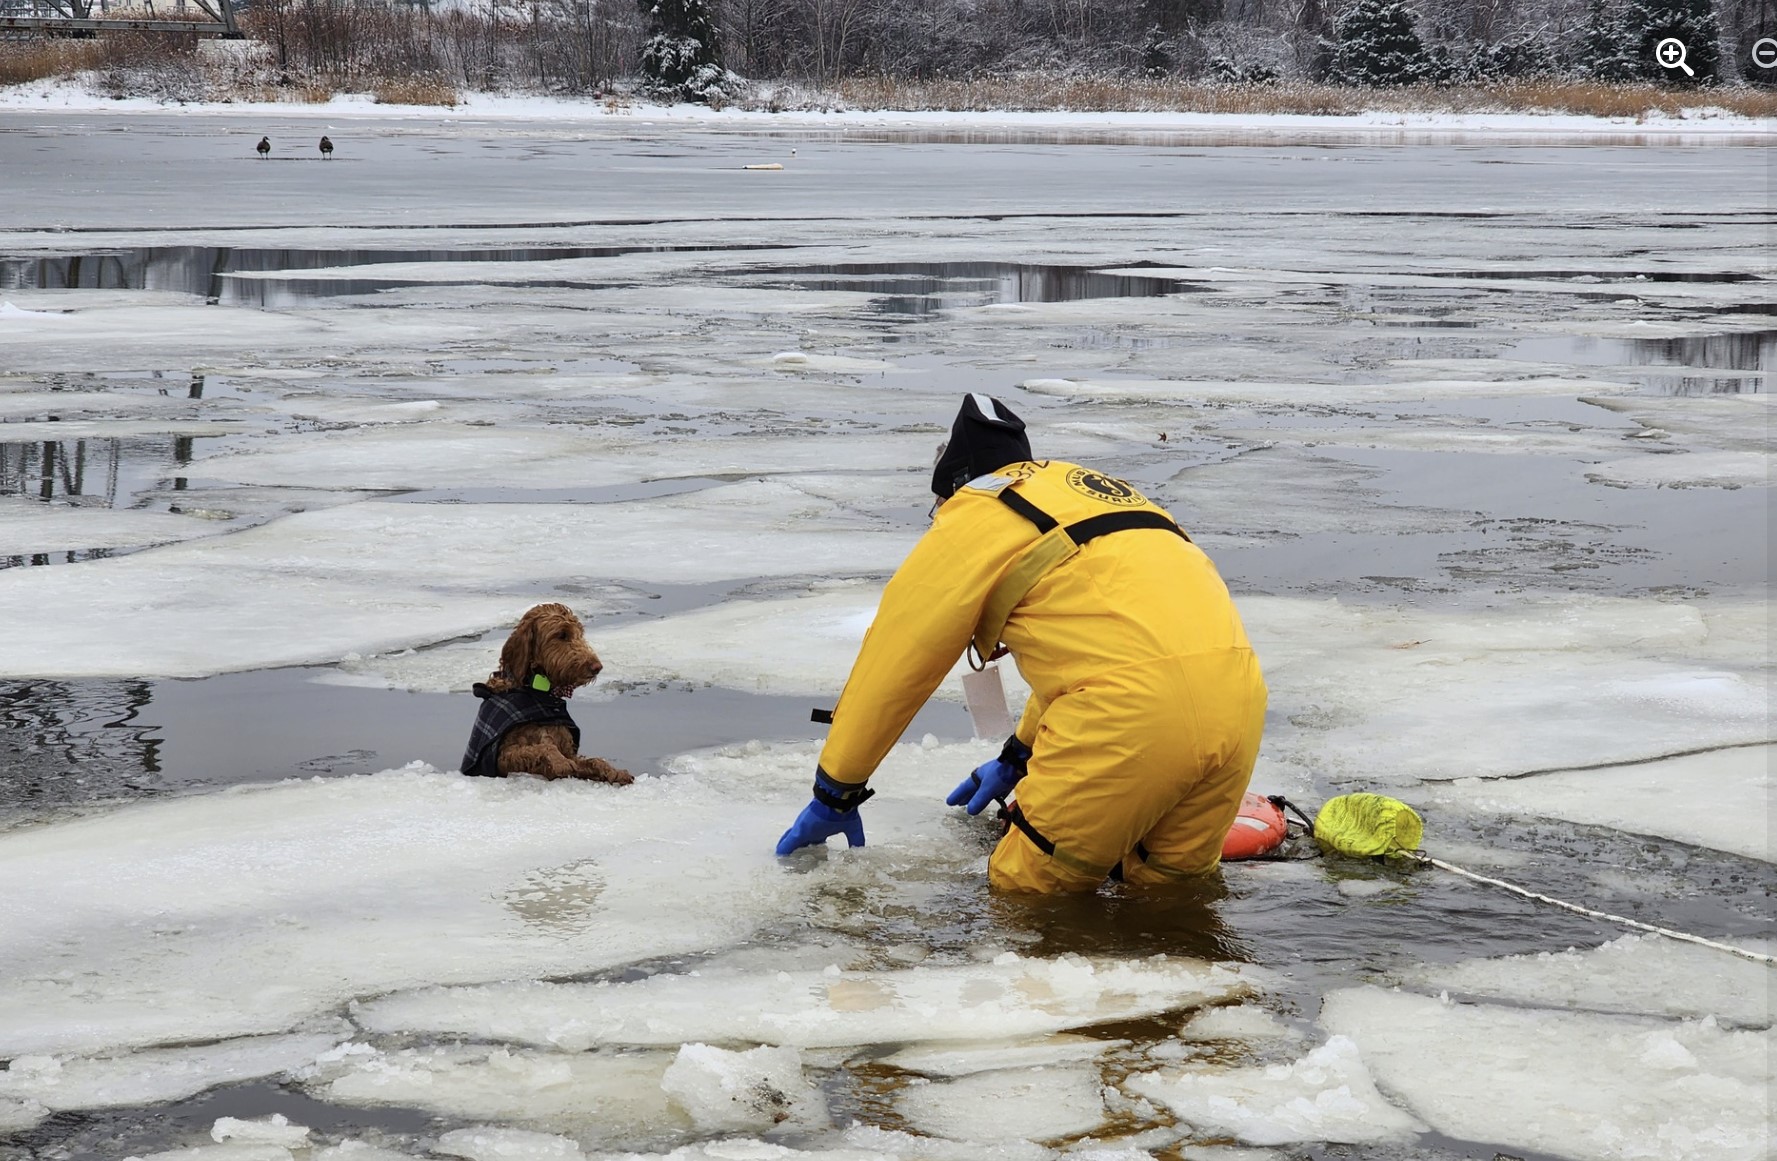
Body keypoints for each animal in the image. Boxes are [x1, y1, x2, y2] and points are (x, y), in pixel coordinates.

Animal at [462, 600, 636, 782]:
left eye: (580, 634)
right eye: (562, 635)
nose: (597, 667)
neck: (539, 693)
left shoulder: (568, 749)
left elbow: (594, 761)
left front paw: (615, 772)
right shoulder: (502, 756)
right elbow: (542, 748)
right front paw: (559, 762)